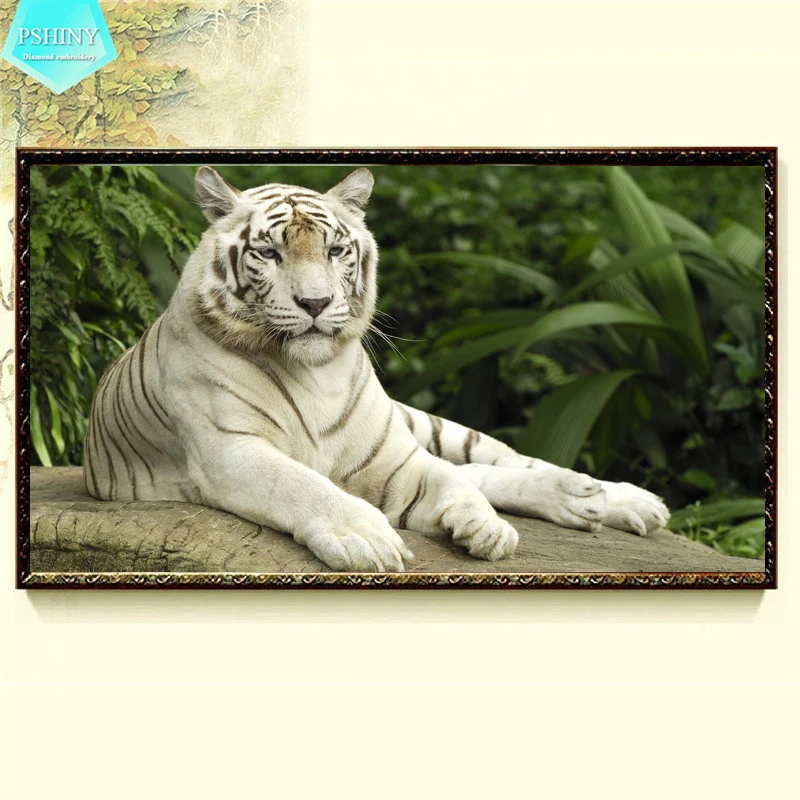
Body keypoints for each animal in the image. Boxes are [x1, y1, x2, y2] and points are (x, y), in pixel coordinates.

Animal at [83, 167, 670, 572]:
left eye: (335, 250)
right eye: (269, 254)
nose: (316, 303)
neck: (315, 373)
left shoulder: (394, 458)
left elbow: (450, 480)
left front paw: (484, 528)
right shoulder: (230, 451)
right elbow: (301, 484)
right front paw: (369, 538)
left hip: (424, 424)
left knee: (493, 462)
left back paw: (609, 497)